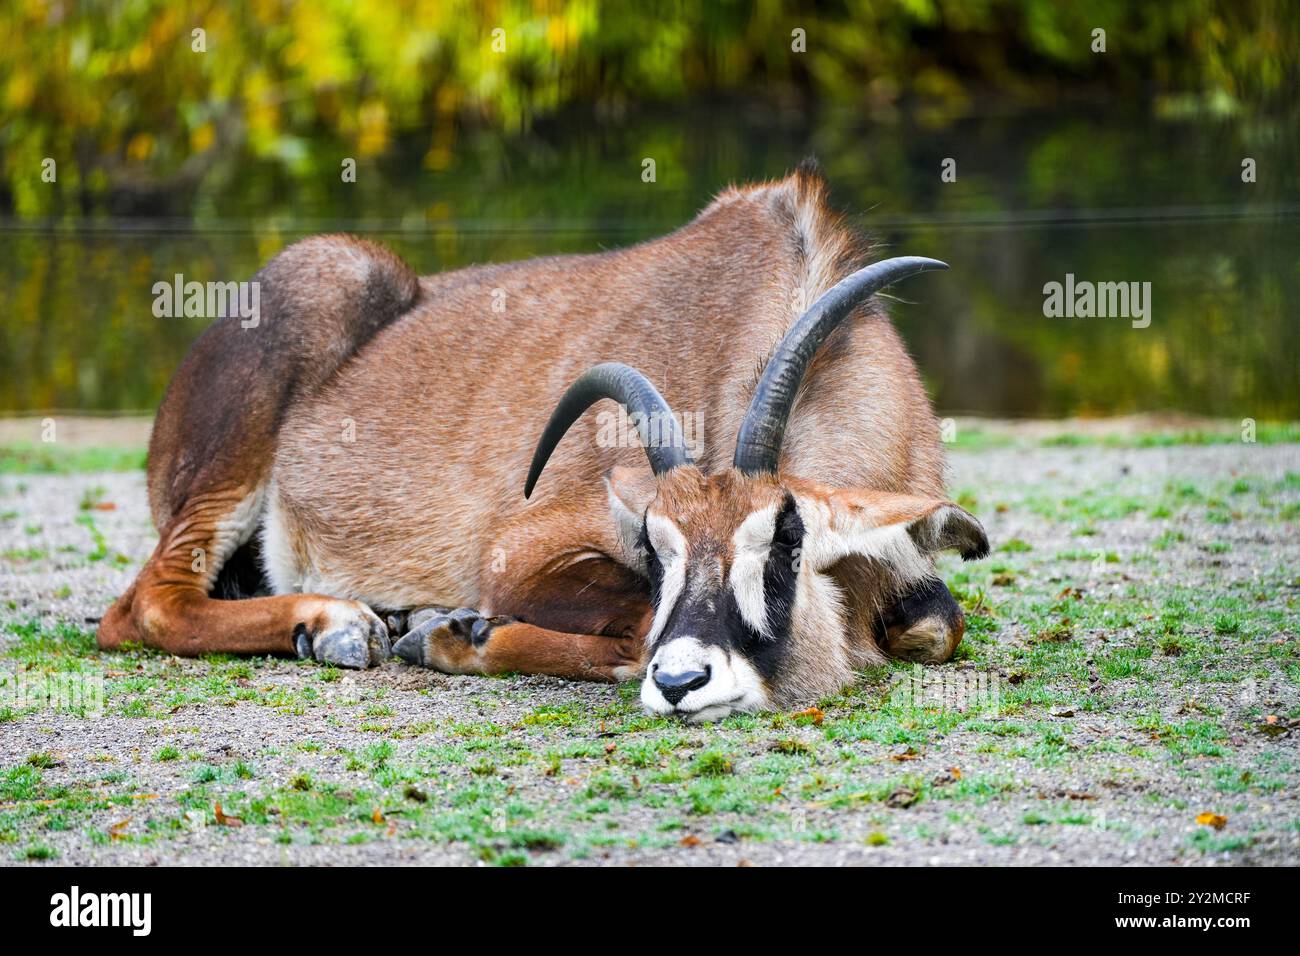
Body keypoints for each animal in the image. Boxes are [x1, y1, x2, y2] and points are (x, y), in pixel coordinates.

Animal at [101, 162, 987, 717]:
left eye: (785, 541)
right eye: (656, 544)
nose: (685, 679)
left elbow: (935, 624)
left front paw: (447, 628)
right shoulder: (517, 549)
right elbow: (631, 620)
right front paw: (460, 634)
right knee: (142, 606)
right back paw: (338, 623)